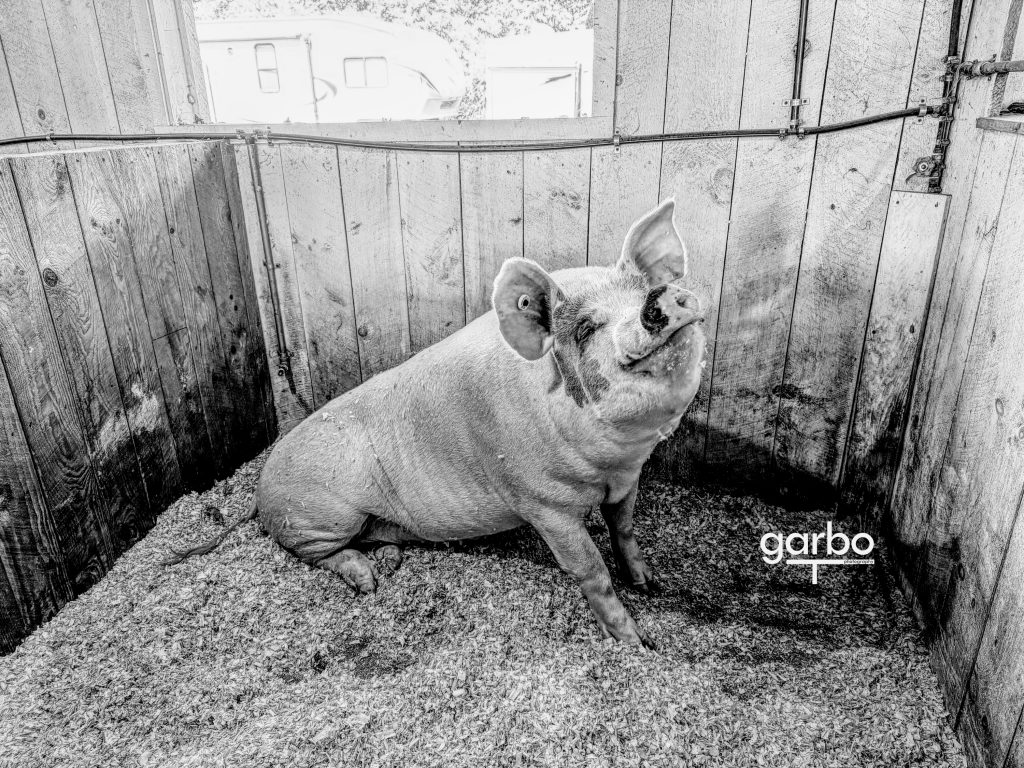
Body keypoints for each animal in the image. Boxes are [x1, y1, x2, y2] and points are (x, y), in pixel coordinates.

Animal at [213, 199, 704, 646]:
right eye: (585, 329)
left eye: (643, 290)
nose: (660, 299)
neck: (613, 464)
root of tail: (260, 485)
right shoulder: (543, 503)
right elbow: (590, 569)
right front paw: (638, 643)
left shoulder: (627, 480)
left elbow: (624, 530)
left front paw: (650, 582)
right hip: (319, 514)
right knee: (316, 552)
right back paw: (369, 581)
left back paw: (389, 561)